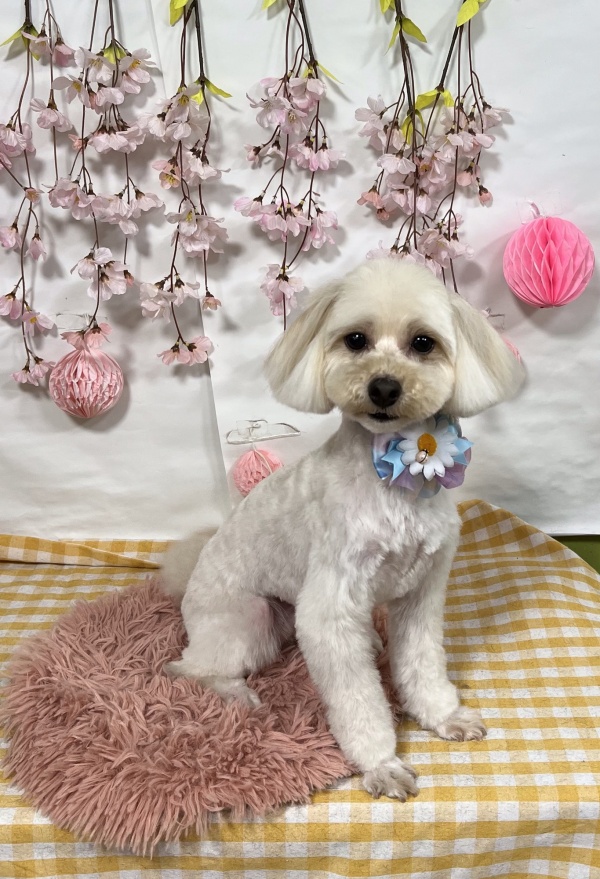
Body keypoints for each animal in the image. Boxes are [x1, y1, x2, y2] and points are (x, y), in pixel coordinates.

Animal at [160, 259, 525, 801]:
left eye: (423, 343)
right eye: (356, 339)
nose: (383, 387)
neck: (394, 483)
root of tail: (191, 578)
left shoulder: (422, 594)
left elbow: (422, 661)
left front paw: (443, 715)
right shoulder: (331, 606)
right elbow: (358, 698)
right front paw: (381, 763)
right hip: (247, 618)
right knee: (190, 667)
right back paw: (237, 693)